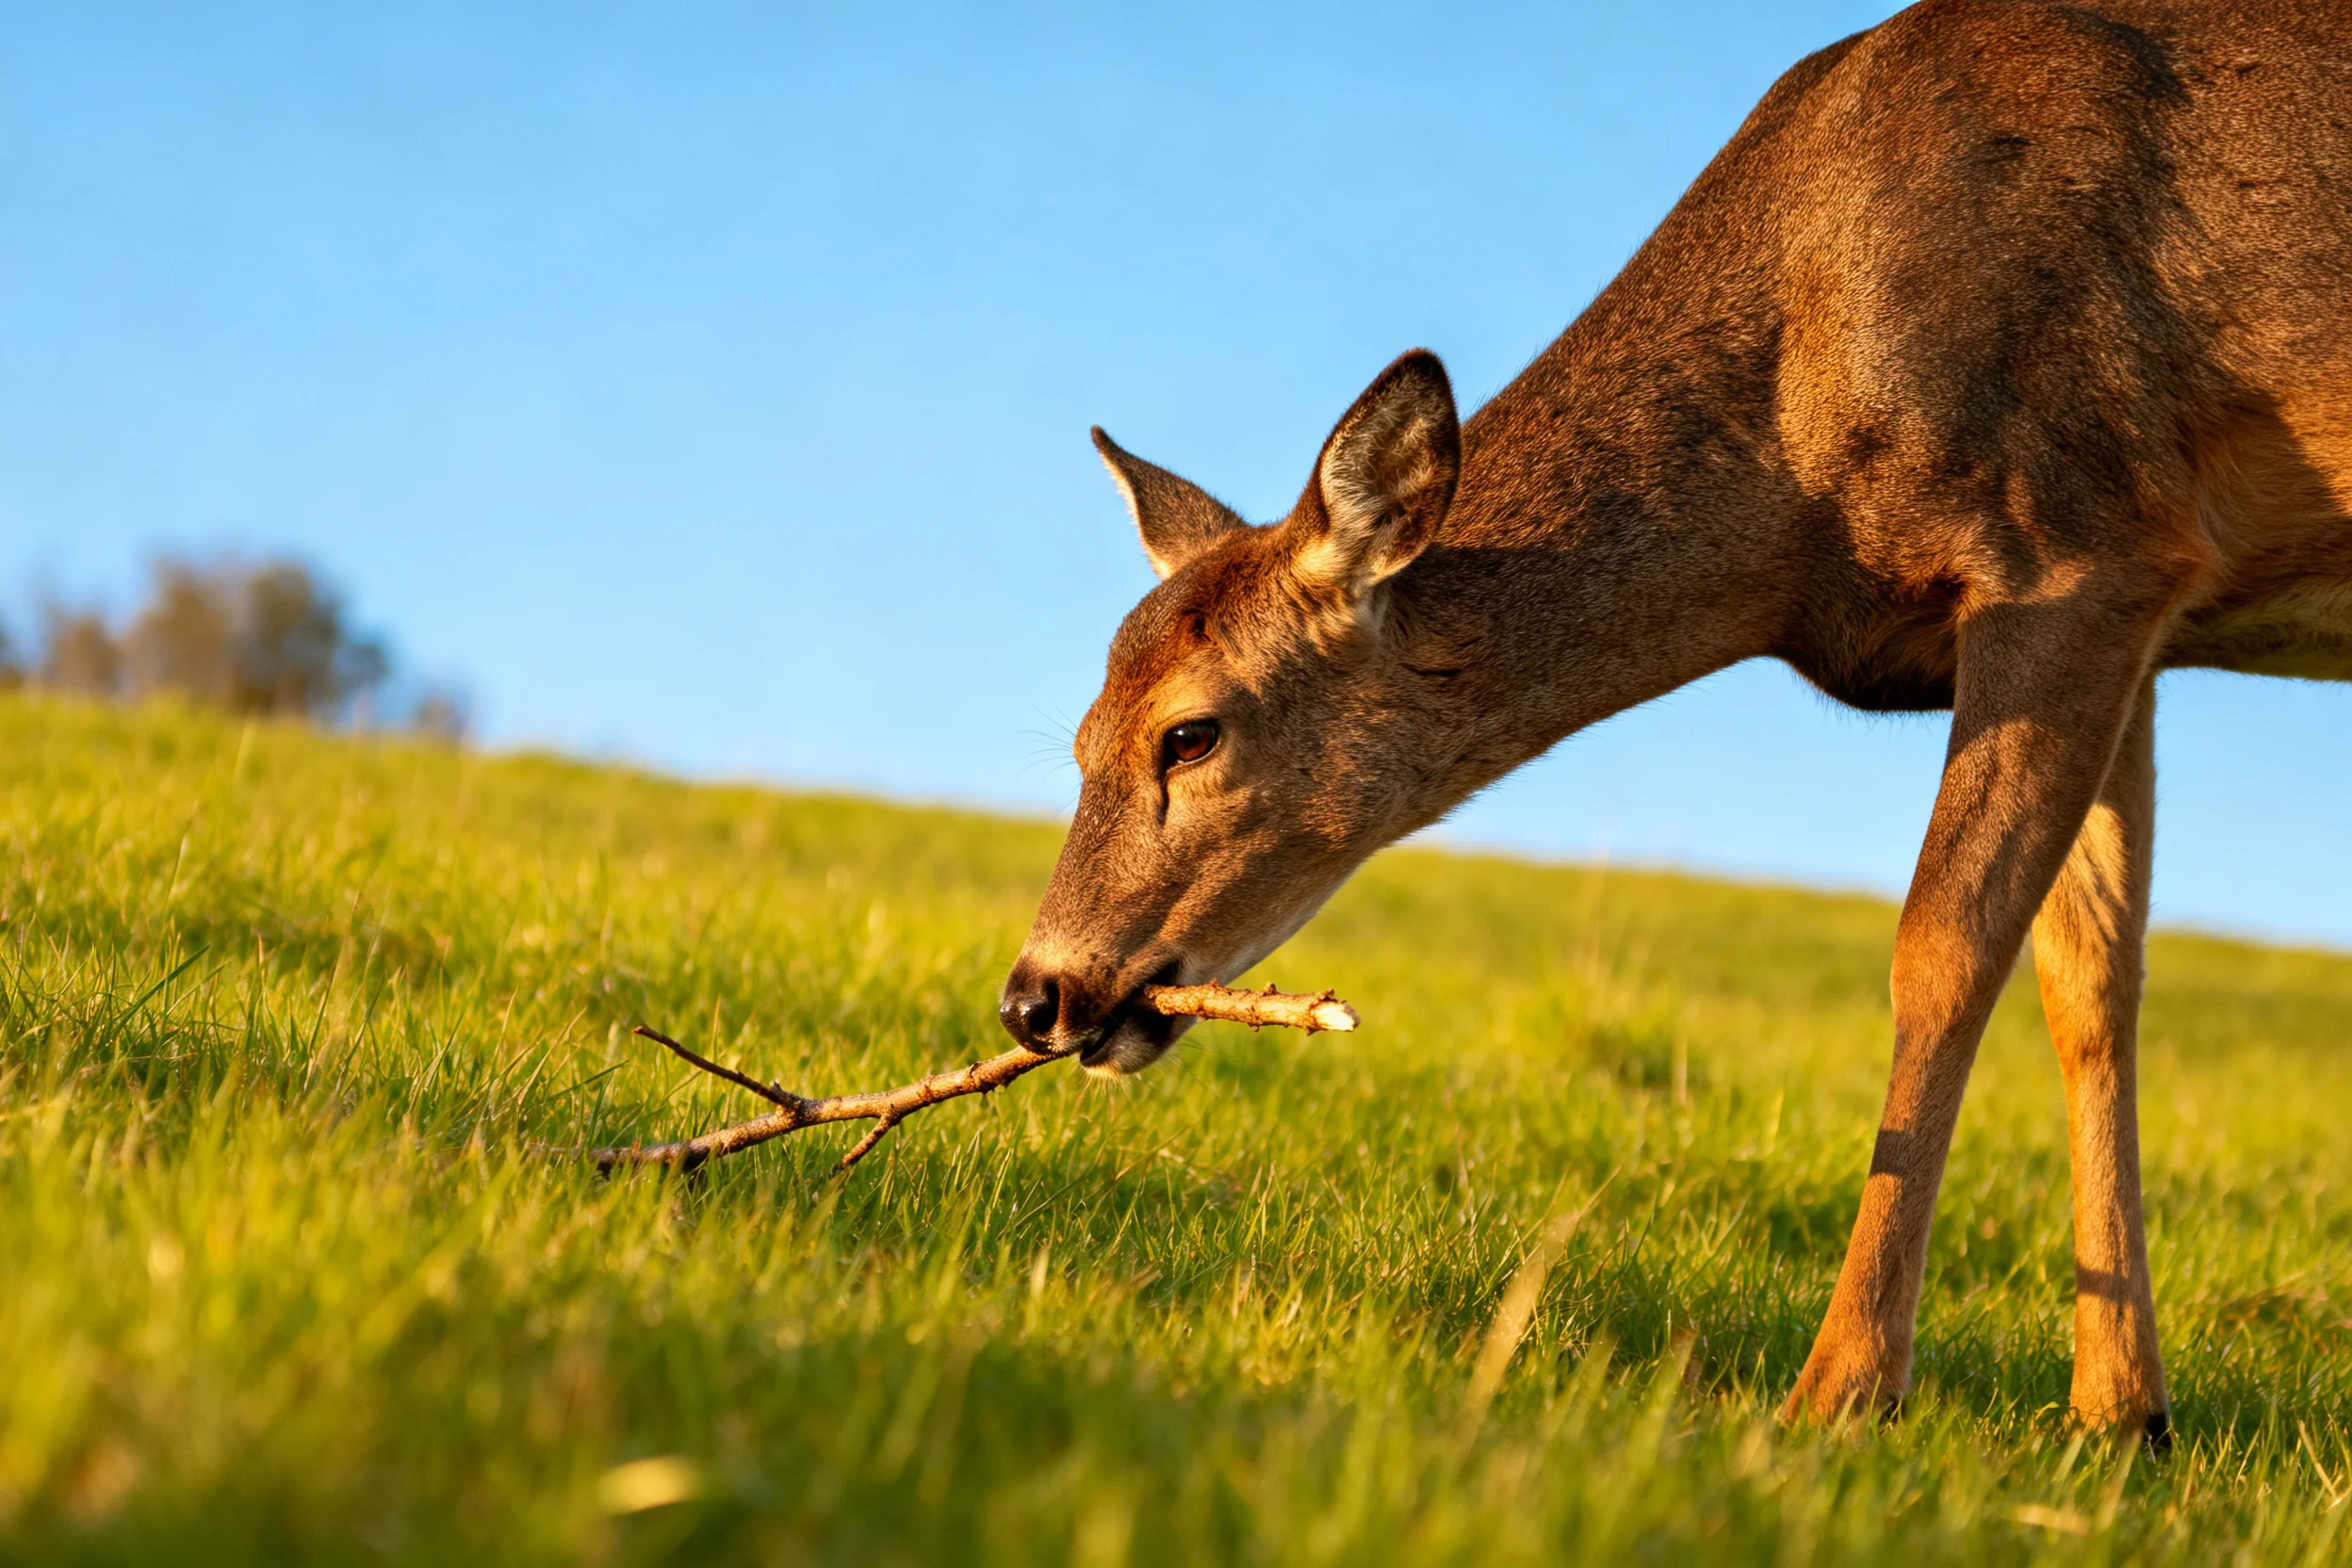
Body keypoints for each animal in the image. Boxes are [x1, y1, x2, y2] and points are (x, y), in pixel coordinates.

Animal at [998, 0, 2352, 1444]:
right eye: (1078, 739)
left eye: (1189, 733)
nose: (1038, 994)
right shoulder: (2145, 608)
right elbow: (2092, 980)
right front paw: (2124, 1413)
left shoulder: (2074, 539)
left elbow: (1943, 950)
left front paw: (1842, 1387)